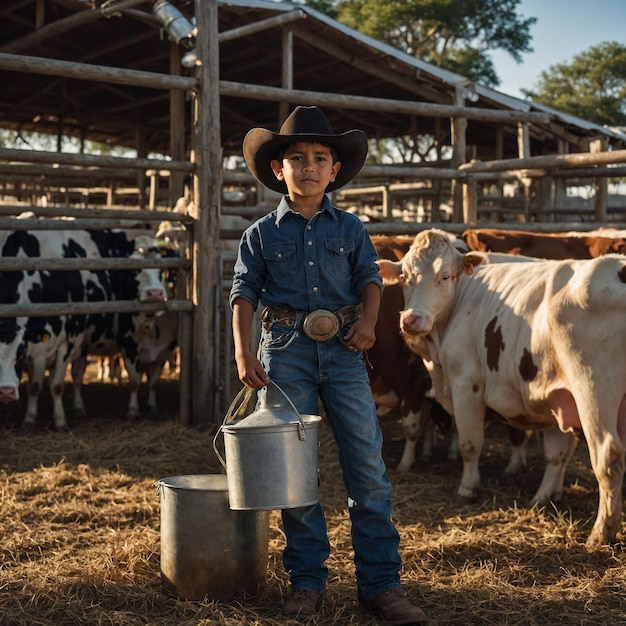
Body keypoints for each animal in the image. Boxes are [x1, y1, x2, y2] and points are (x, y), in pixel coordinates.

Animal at [376, 227, 624, 544]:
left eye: (445, 276)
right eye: (406, 276)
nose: (411, 319)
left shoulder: (466, 383)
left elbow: (470, 443)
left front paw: (467, 488)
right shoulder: (559, 396)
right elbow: (557, 454)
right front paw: (546, 496)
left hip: (595, 395)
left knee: (608, 458)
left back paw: (601, 532)